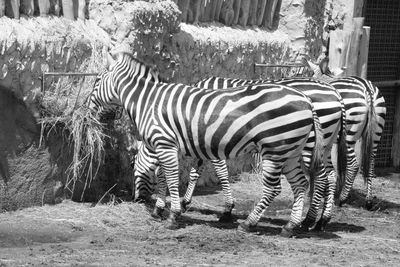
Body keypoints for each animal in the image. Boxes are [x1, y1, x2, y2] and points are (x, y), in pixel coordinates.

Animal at [90, 52, 324, 234]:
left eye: (97, 81)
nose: (137, 199)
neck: (148, 102)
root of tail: (306, 100)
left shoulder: (165, 143)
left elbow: (172, 178)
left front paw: (173, 215)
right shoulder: (173, 146)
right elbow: (166, 176)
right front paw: (160, 208)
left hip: (275, 149)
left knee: (273, 189)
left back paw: (249, 223)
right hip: (291, 150)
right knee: (300, 184)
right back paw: (290, 226)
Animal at [134, 76, 346, 232]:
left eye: (134, 167)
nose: (137, 200)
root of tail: (335, 93)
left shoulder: (211, 139)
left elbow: (218, 171)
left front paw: (227, 210)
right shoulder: (201, 141)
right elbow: (196, 171)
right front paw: (185, 202)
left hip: (309, 144)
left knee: (320, 178)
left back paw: (308, 220)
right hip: (324, 146)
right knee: (330, 176)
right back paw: (320, 221)